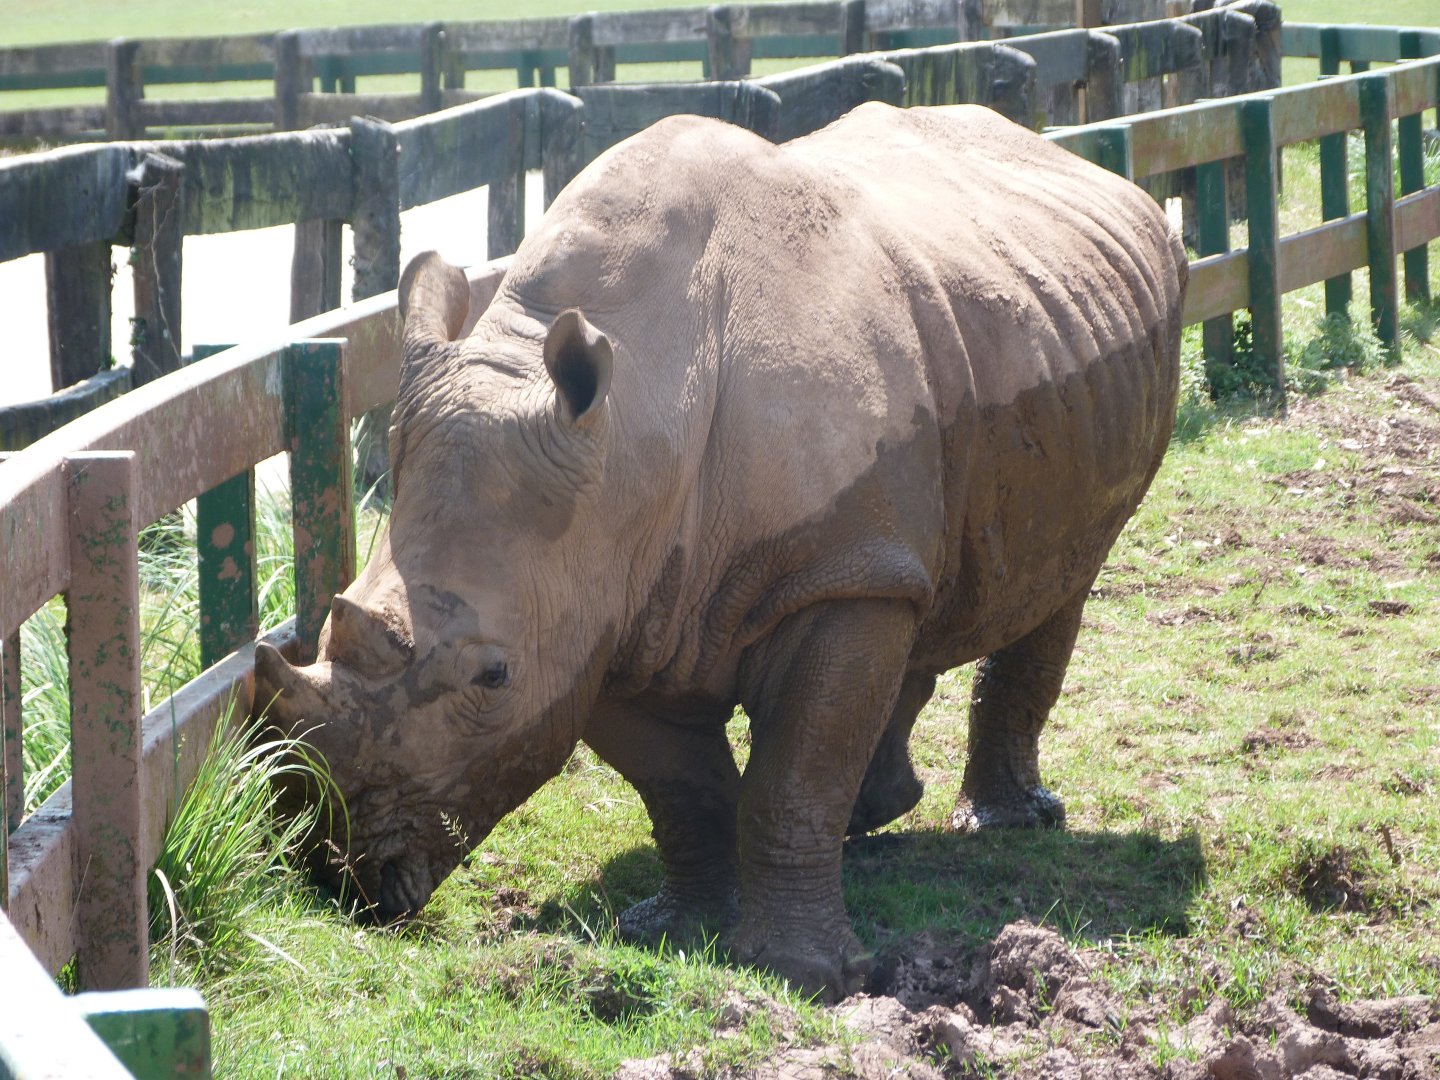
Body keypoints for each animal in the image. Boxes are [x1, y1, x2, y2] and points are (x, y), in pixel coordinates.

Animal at [256, 101, 1186, 1000]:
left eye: (493, 678)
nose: (336, 871)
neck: (636, 430)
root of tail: (1092, 170)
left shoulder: (820, 576)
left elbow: (796, 772)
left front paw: (805, 976)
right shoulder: (599, 609)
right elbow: (682, 785)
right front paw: (671, 928)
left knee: (1058, 579)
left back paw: (1005, 822)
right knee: (923, 577)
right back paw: (876, 815)